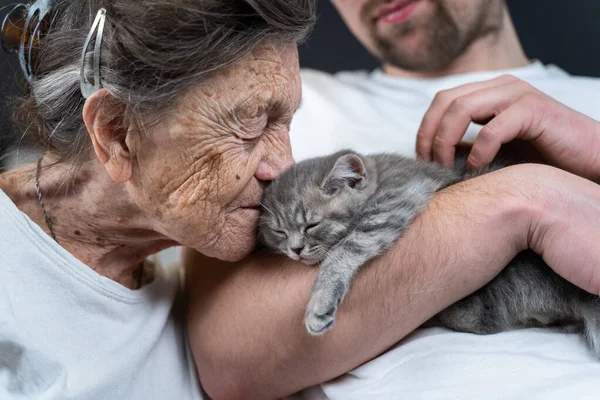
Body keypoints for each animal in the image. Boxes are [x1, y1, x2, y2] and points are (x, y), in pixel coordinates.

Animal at [258, 150, 600, 356]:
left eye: (311, 224)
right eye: (279, 232)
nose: (295, 250)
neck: (380, 176)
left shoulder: (395, 200)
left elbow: (345, 248)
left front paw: (320, 302)